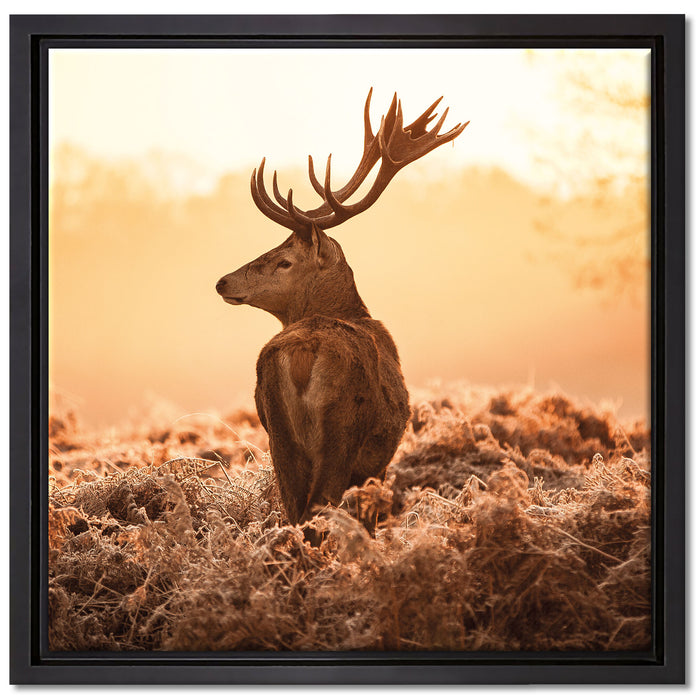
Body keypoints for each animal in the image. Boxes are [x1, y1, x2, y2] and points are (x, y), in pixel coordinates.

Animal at [216, 89, 467, 536]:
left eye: (283, 261)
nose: (223, 282)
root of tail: (301, 352)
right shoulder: (376, 463)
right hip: (342, 431)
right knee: (318, 509)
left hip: (278, 435)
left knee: (293, 509)